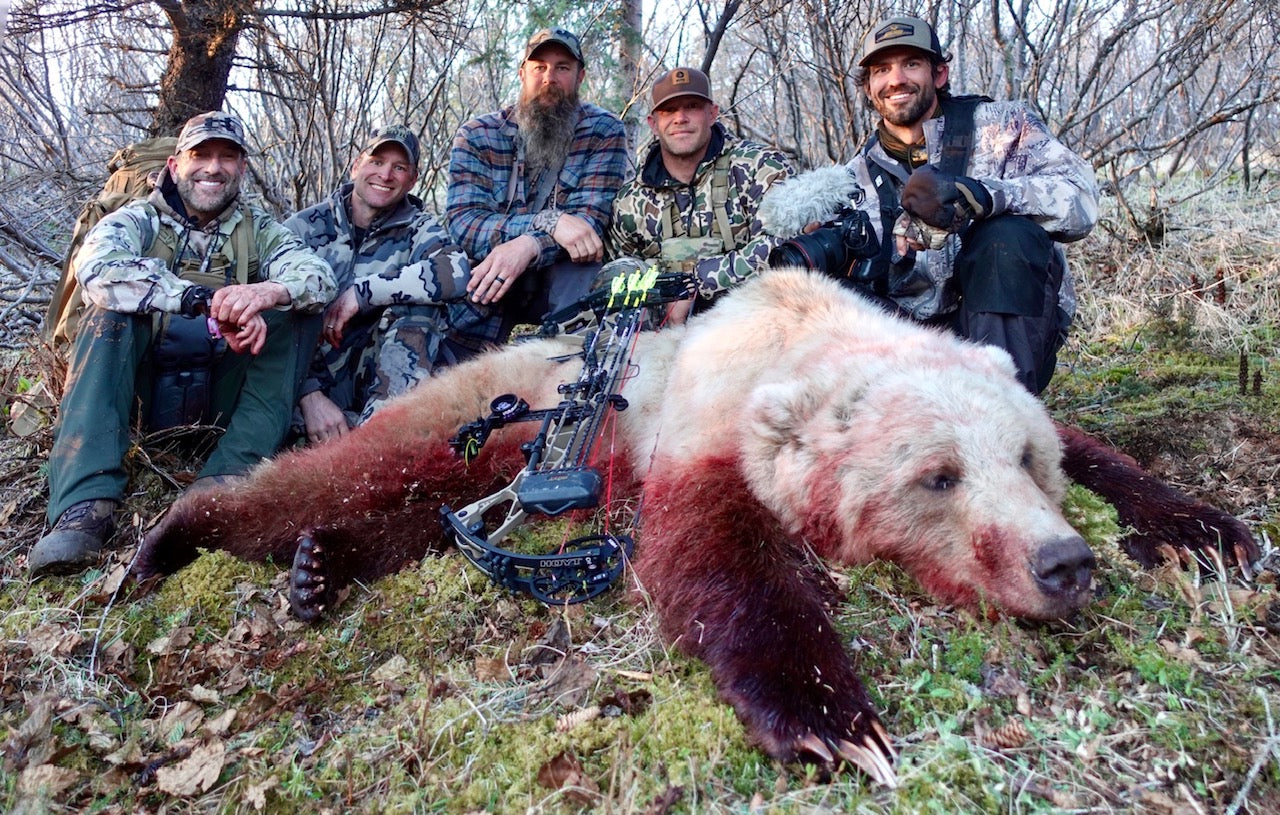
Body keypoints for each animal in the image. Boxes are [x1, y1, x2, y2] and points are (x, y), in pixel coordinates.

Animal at [133, 269, 1256, 786]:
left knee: (414, 515)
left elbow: (1109, 451)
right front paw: (833, 718)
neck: (806, 330)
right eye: (934, 475)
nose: (1061, 562)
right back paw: (170, 538)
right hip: (474, 414)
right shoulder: (705, 423)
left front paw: (1206, 529)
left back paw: (318, 570)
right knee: (347, 474)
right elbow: (712, 554)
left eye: (1024, 458)